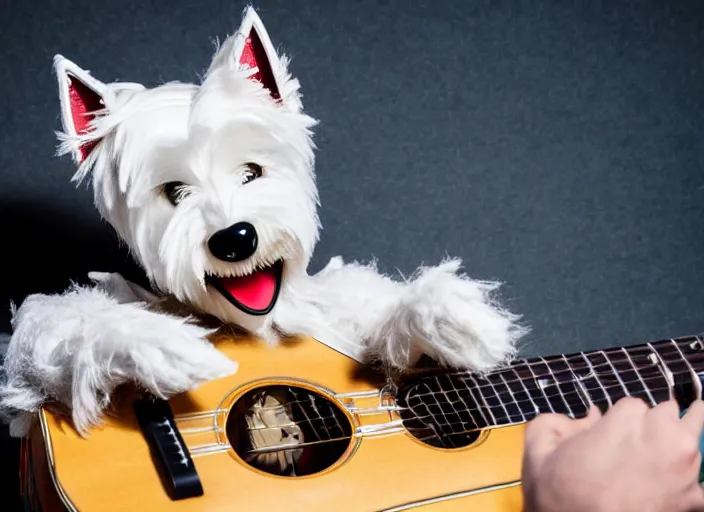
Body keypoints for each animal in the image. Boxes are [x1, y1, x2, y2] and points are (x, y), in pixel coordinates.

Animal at [0, 6, 528, 438]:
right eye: (174, 192)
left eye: (251, 172)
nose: (234, 238)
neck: (266, 324)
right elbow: (40, 336)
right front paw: (156, 343)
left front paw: (451, 317)